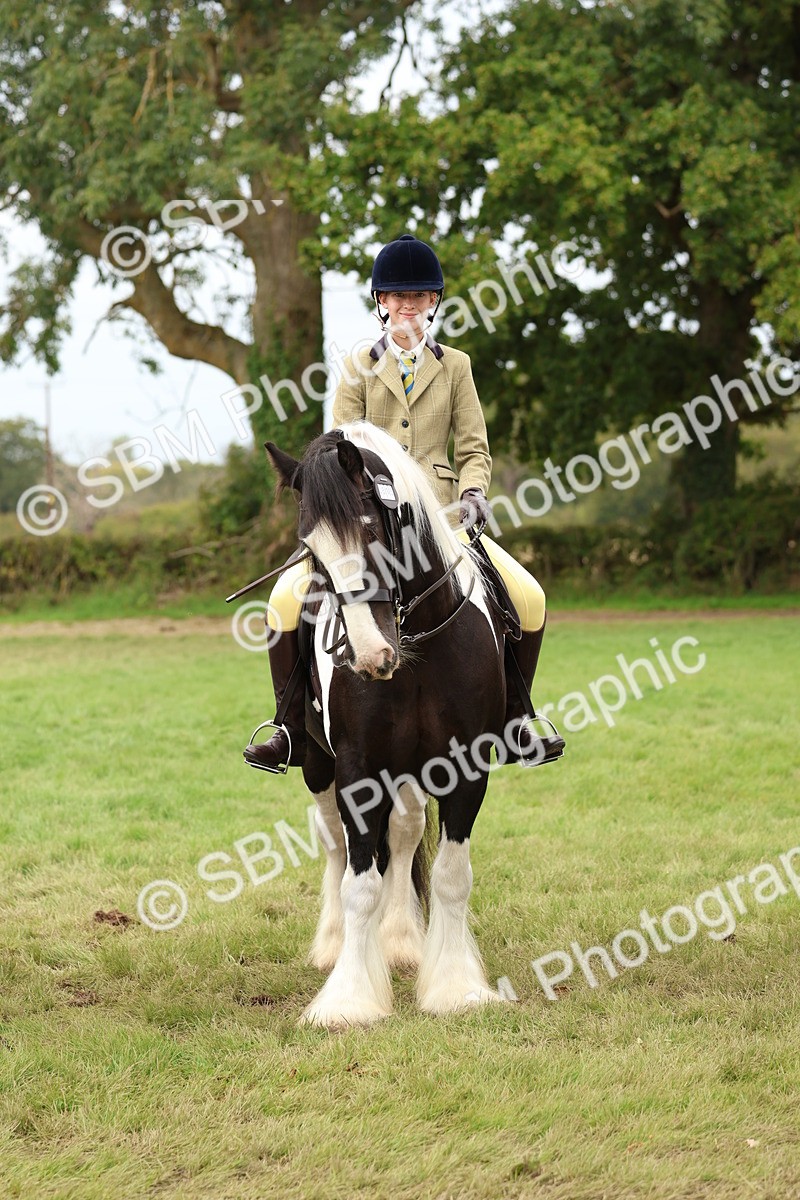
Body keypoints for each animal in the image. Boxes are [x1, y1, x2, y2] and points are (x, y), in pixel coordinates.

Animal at [265, 421, 514, 1029]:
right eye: (311, 551)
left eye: (373, 528)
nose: (368, 656)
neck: (415, 642)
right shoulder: (358, 770)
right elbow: (359, 883)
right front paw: (349, 999)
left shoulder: (465, 768)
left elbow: (450, 876)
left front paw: (456, 988)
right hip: (317, 762)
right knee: (335, 843)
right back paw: (333, 945)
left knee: (402, 836)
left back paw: (402, 942)